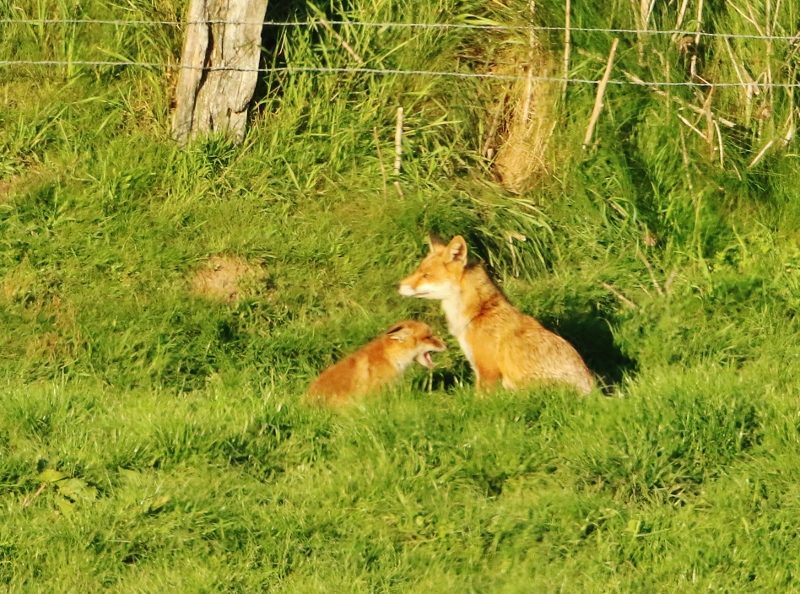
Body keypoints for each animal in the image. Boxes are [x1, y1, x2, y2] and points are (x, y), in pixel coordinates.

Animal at [400, 232, 592, 394]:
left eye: (426, 275)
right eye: (418, 271)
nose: (398, 285)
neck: (479, 314)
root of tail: (592, 392)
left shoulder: (487, 370)